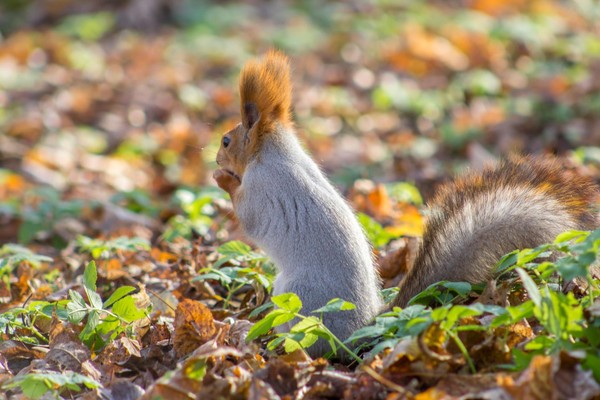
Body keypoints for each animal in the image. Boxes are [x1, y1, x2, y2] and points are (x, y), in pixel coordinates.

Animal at [213, 50, 596, 360]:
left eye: (226, 141)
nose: (215, 157)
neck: (273, 151)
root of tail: (360, 332)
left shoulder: (264, 188)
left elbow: (248, 216)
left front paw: (223, 179)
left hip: (294, 298)